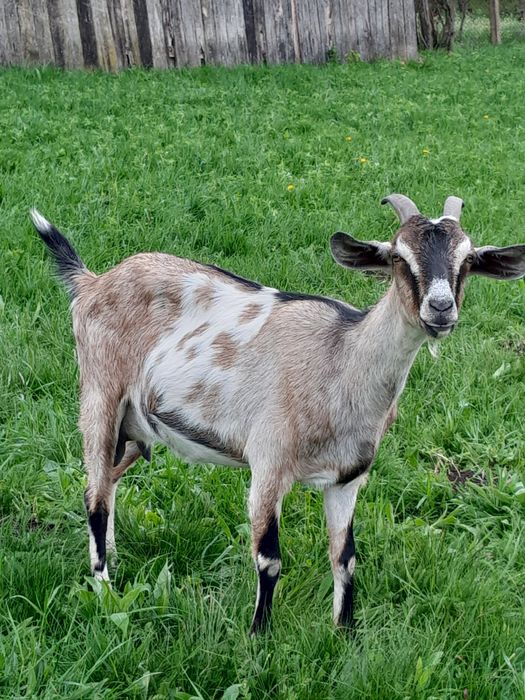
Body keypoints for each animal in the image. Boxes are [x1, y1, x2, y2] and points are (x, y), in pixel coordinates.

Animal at [31, 194, 525, 634]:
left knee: (108, 485)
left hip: (135, 430)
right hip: (99, 396)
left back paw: (112, 557)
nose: (440, 309)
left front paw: (344, 633)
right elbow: (269, 560)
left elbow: (345, 559)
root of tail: (92, 282)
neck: (341, 359)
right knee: (94, 496)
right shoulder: (268, 465)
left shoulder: (348, 479)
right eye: (398, 256)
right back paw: (104, 588)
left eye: (468, 259)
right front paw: (258, 636)